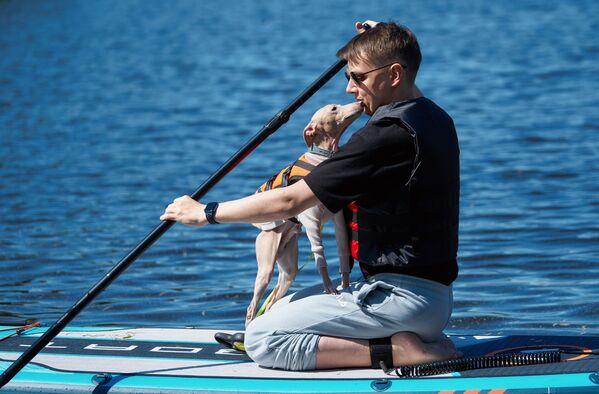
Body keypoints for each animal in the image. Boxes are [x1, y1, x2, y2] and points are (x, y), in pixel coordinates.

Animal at [246, 102, 364, 326]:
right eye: (334, 108)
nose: (360, 103)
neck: (321, 156)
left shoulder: (337, 219)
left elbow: (343, 251)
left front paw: (345, 284)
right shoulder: (311, 221)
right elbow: (320, 257)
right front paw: (330, 288)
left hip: (288, 268)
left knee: (271, 303)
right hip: (265, 268)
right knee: (251, 308)